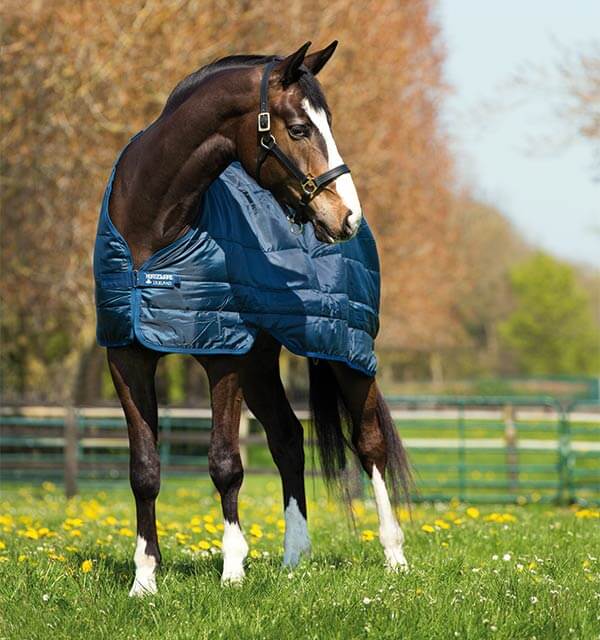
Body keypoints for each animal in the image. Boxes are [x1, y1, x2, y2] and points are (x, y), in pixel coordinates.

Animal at [99, 41, 411, 596]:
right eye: (300, 128)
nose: (346, 216)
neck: (152, 230)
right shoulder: (127, 355)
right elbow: (144, 469)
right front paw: (144, 579)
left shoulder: (223, 355)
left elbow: (225, 462)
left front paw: (232, 571)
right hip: (262, 365)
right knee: (288, 439)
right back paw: (294, 556)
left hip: (345, 349)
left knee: (369, 443)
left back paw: (394, 555)